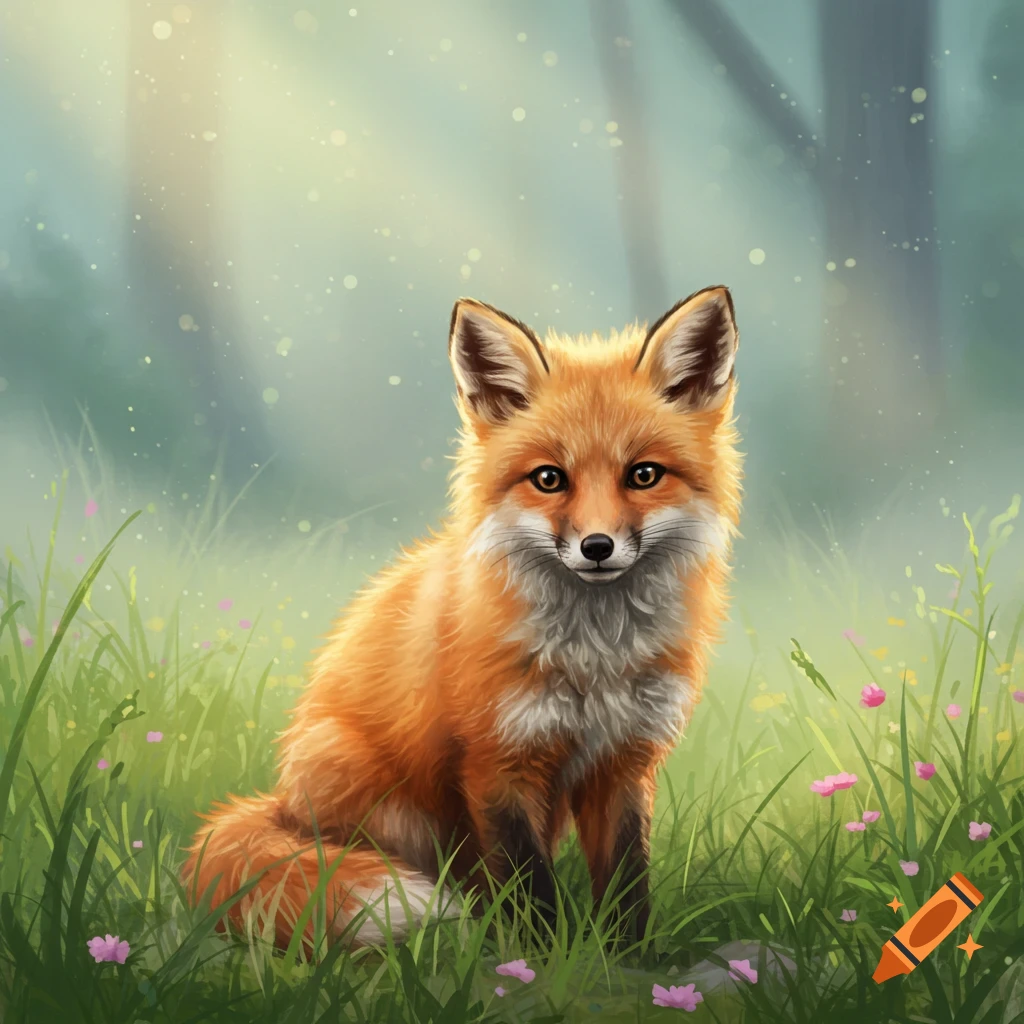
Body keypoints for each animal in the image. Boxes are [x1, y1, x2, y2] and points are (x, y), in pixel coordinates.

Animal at [182, 284, 744, 951]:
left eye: (644, 475)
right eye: (549, 478)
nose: (597, 547)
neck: (594, 659)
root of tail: (281, 804)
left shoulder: (624, 763)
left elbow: (626, 881)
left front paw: (624, 958)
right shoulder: (497, 763)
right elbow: (529, 885)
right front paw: (538, 960)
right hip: (386, 802)